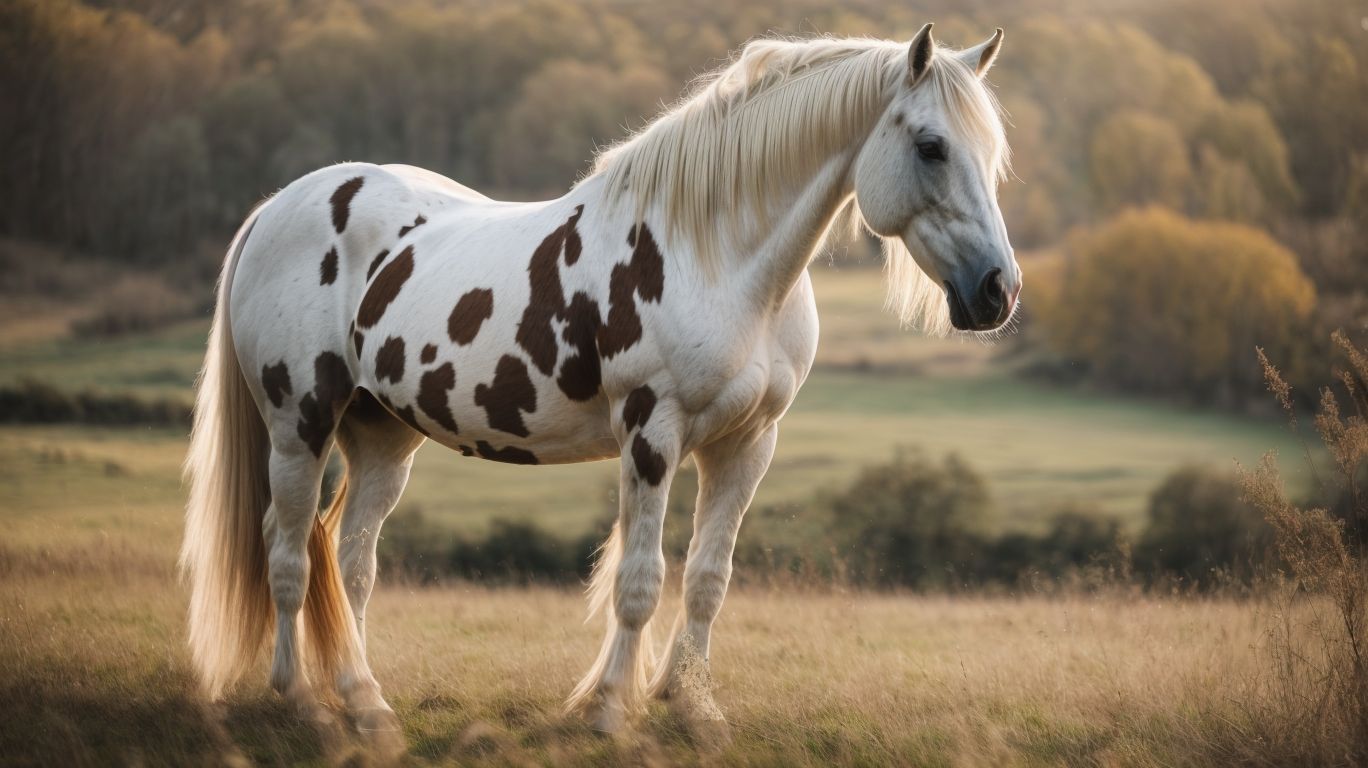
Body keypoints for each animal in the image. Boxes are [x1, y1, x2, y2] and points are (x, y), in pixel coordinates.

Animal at [180, 23, 1019, 740]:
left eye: (992, 154)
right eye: (932, 146)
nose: (997, 291)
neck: (717, 257)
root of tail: (277, 208)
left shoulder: (748, 445)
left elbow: (708, 579)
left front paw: (694, 709)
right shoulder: (652, 432)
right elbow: (640, 581)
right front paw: (613, 709)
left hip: (382, 434)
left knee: (350, 564)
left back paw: (366, 705)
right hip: (300, 424)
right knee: (288, 553)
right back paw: (303, 703)